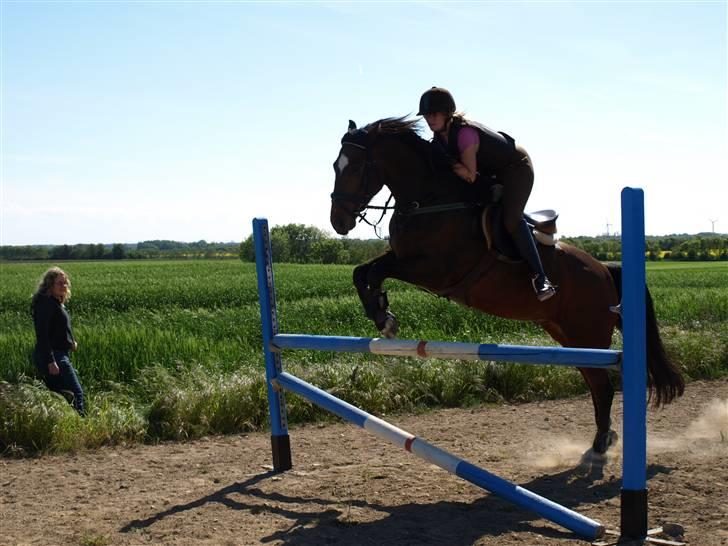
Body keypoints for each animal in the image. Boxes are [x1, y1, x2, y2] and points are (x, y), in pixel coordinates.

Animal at [328, 116, 684, 454]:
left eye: (355, 166)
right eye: (335, 166)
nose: (338, 222)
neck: (427, 200)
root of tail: (604, 270)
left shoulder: (436, 270)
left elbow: (377, 271)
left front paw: (384, 316)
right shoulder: (403, 258)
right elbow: (362, 271)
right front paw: (380, 313)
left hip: (589, 334)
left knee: (605, 385)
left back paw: (600, 443)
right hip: (567, 335)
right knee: (597, 384)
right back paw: (603, 438)